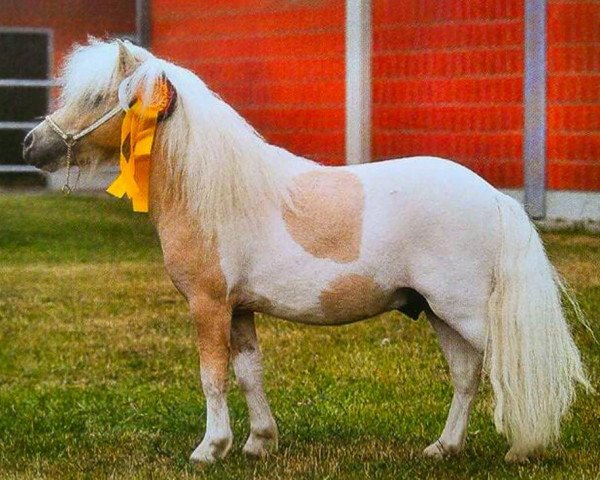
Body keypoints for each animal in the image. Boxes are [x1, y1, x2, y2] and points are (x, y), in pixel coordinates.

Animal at [21, 39, 588, 464]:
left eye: (99, 97)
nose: (30, 145)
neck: (215, 191)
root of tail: (496, 198)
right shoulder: (240, 309)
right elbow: (249, 373)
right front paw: (258, 443)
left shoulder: (208, 304)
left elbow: (213, 376)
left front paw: (210, 449)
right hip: (439, 314)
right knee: (467, 376)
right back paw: (442, 448)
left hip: (467, 313)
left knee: (512, 365)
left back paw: (523, 447)